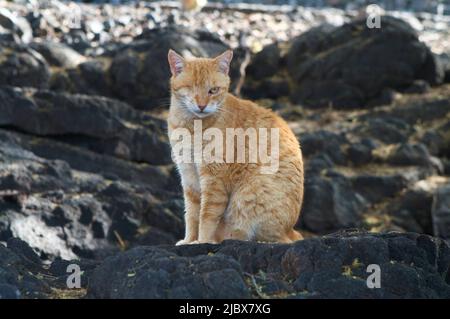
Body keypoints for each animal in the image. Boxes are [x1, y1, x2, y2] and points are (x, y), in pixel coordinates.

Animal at [169, 49, 306, 245]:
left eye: (213, 90)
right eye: (191, 89)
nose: (202, 105)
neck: (191, 126)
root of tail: (291, 230)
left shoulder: (214, 180)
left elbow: (206, 217)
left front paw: (202, 241)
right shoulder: (189, 177)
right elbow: (192, 215)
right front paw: (189, 240)